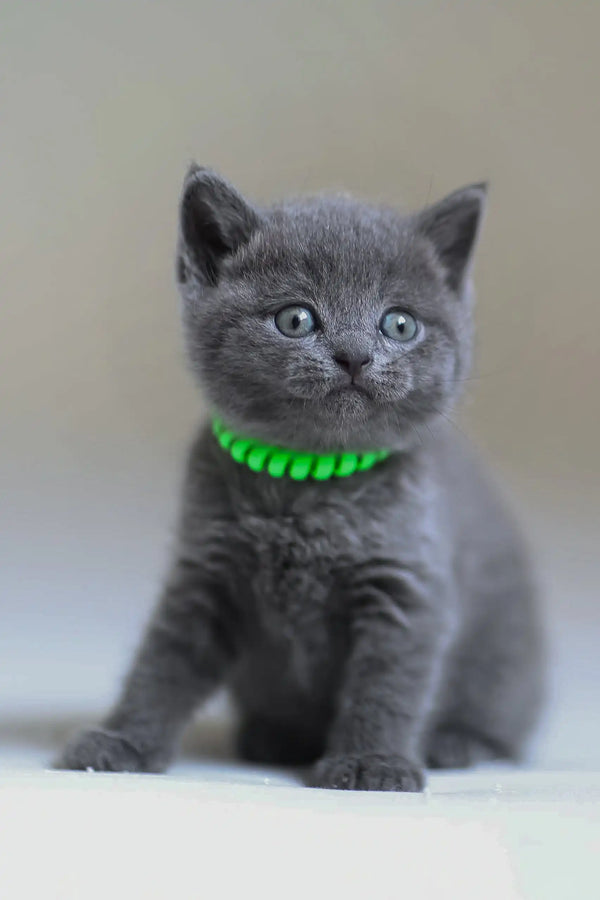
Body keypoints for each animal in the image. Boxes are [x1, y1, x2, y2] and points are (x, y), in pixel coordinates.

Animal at [56, 165, 544, 792]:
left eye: (399, 324)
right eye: (296, 318)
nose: (355, 355)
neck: (308, 479)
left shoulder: (406, 584)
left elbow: (387, 685)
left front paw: (372, 763)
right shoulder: (206, 570)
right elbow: (162, 662)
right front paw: (121, 742)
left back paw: (457, 742)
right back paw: (272, 738)